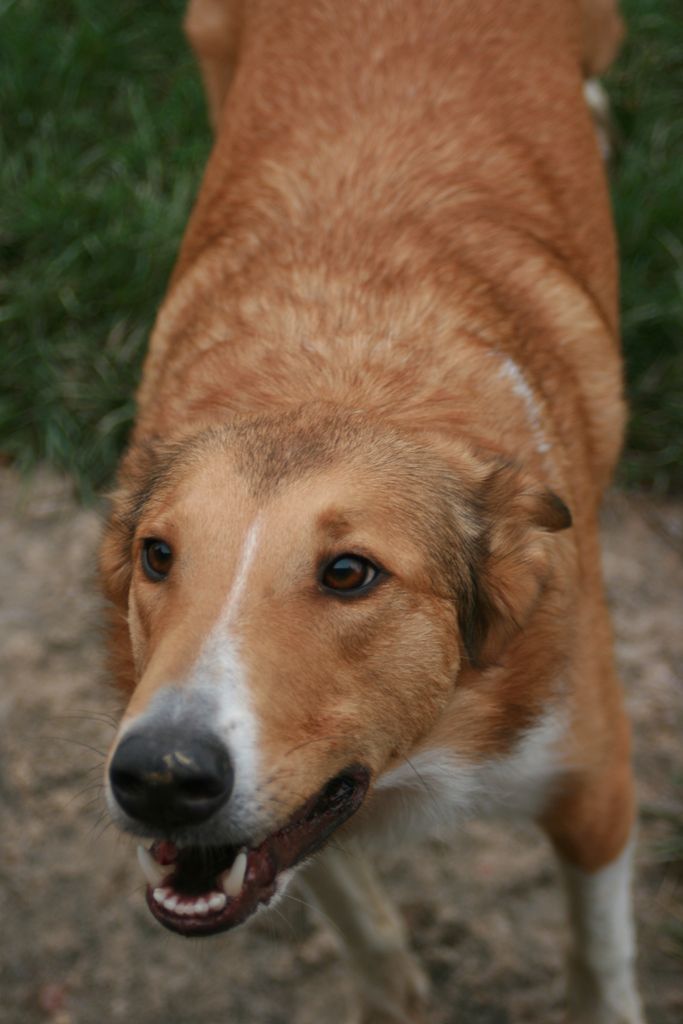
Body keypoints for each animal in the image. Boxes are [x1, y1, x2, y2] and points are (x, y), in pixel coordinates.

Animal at [101, 1, 644, 1021]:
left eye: (350, 572)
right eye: (157, 555)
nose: (158, 778)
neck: (339, 369)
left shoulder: (597, 791)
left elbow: (598, 960)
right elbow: (349, 908)